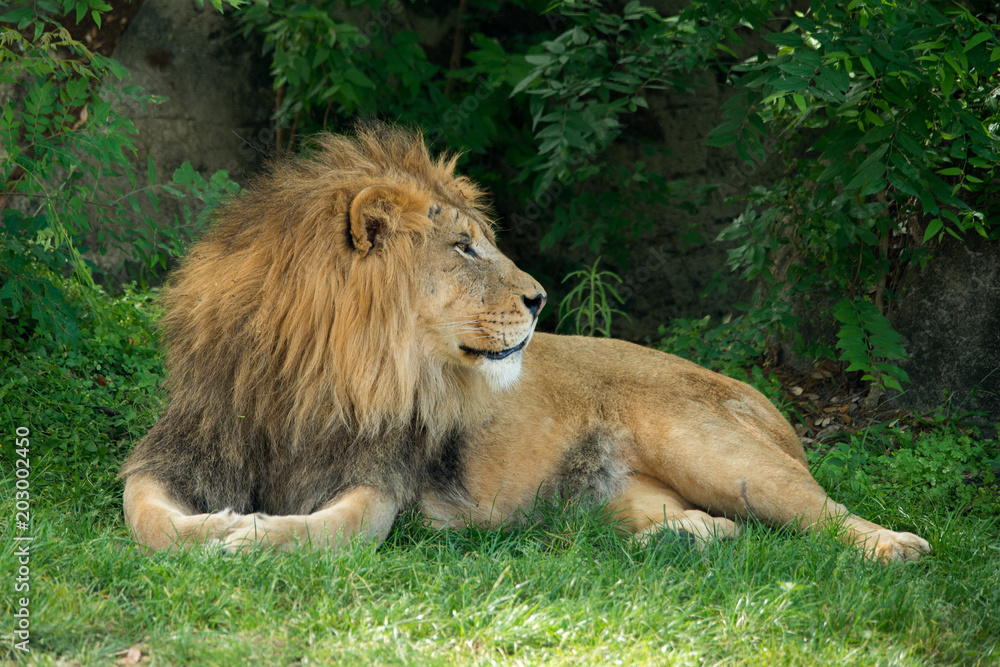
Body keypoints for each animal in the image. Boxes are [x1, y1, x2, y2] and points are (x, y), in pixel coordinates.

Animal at [121, 123, 930, 562]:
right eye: (463, 247)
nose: (541, 299)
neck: (308, 372)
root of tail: (763, 399)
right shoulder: (179, 451)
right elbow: (147, 516)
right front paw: (217, 525)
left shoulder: (379, 481)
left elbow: (327, 530)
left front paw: (249, 535)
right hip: (615, 496)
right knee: (718, 527)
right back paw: (678, 541)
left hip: (718, 450)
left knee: (820, 510)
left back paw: (895, 546)